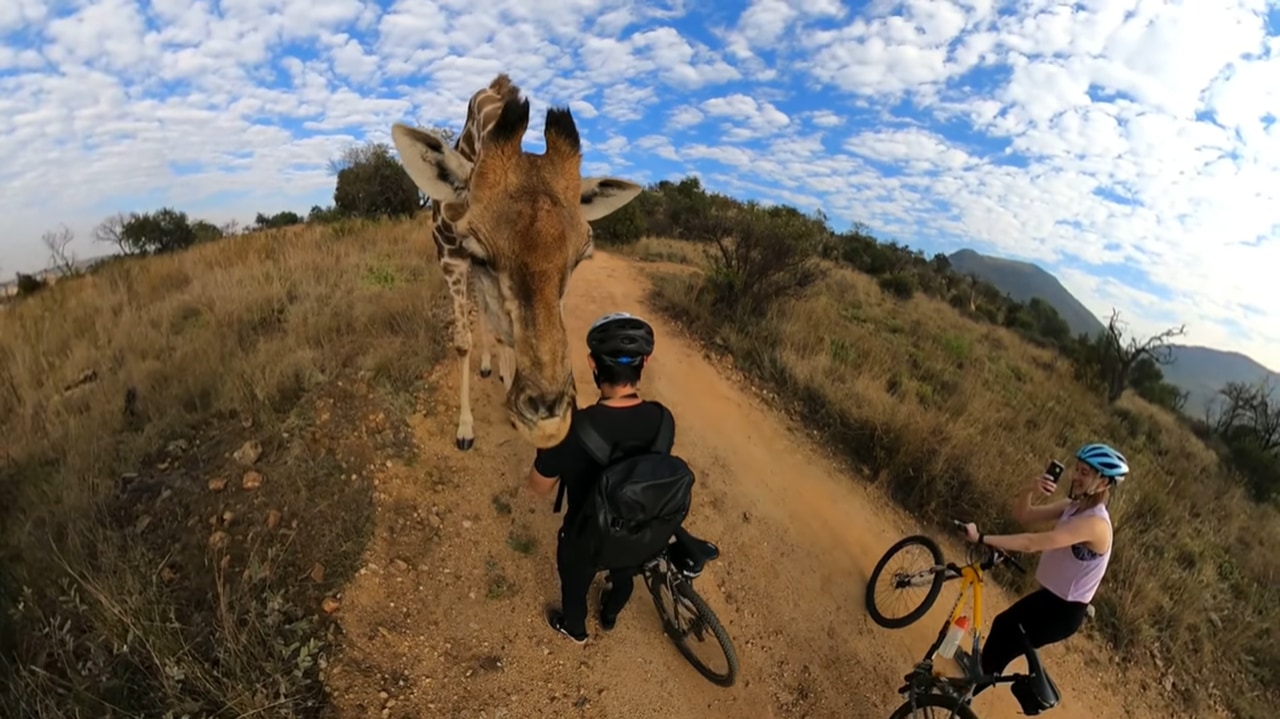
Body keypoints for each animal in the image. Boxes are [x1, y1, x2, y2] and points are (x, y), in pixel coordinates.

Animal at [389, 75, 645, 450]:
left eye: (580, 258)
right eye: (481, 254)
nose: (548, 417)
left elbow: (504, 333)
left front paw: (507, 382)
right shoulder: (453, 259)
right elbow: (463, 342)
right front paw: (465, 428)